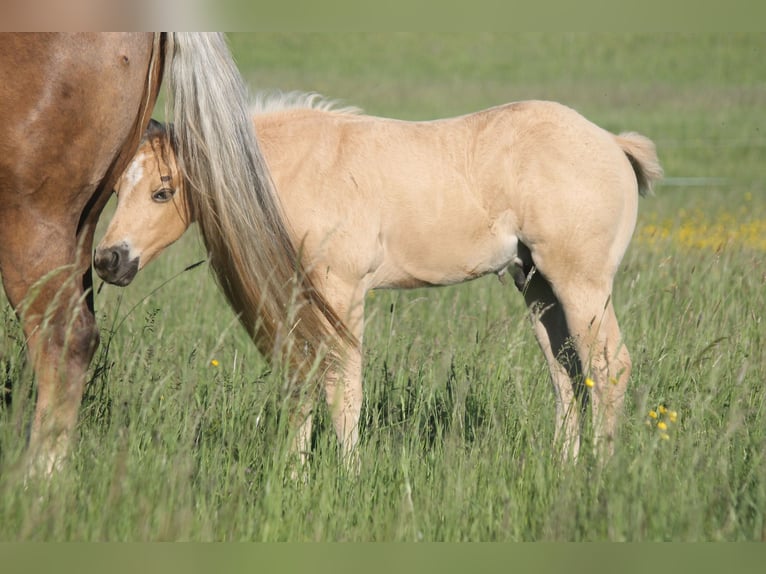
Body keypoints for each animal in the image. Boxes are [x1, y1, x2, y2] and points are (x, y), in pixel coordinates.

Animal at [0, 37, 346, 476]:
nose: (109, 260)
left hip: (31, 215)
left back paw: (38, 479)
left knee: (63, 341)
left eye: (163, 193)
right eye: (121, 192)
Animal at [95, 92, 663, 464]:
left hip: (580, 284)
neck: (292, 172)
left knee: (609, 366)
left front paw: (347, 475)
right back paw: (564, 466)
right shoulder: (302, 297)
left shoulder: (342, 290)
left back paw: (600, 472)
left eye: (163, 191)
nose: (109, 260)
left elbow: (343, 384)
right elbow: (302, 381)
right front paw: (294, 475)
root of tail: (612, 142)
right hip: (538, 287)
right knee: (566, 372)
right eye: (117, 189)